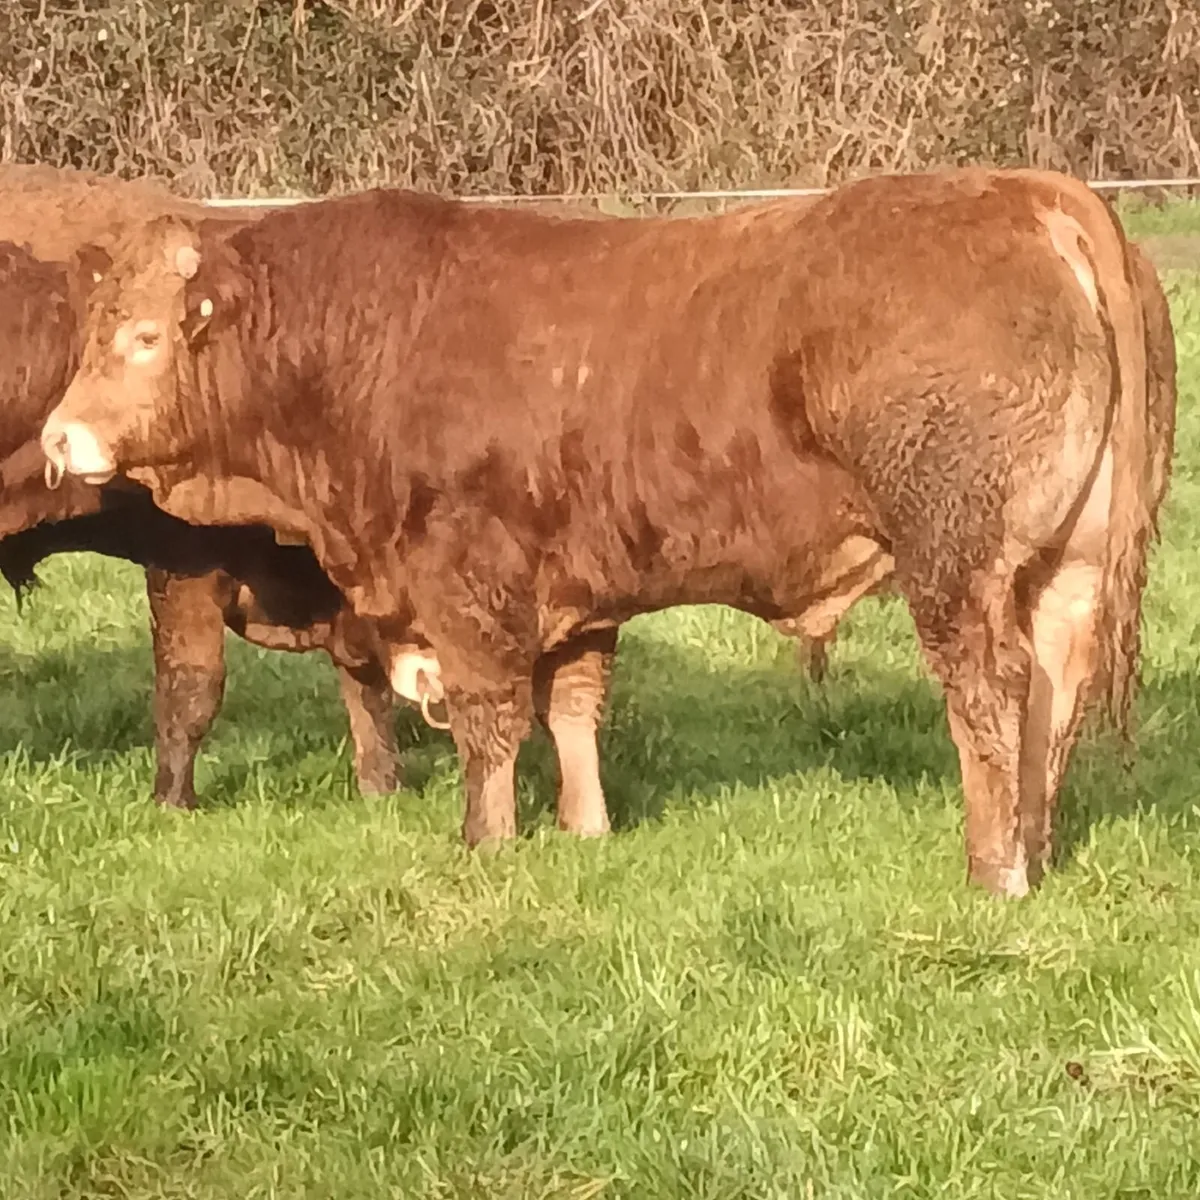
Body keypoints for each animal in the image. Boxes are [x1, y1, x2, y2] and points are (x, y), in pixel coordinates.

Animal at [41, 167, 1172, 897]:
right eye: (92, 332)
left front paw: (486, 844)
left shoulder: (472, 582)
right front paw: (586, 832)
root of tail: (1029, 190)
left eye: (142, 336)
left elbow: (492, 719)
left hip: (954, 562)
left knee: (989, 694)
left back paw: (994, 870)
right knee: (1054, 693)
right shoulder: (575, 588)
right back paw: (1036, 846)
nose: (56, 436)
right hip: (1064, 565)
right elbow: (573, 709)